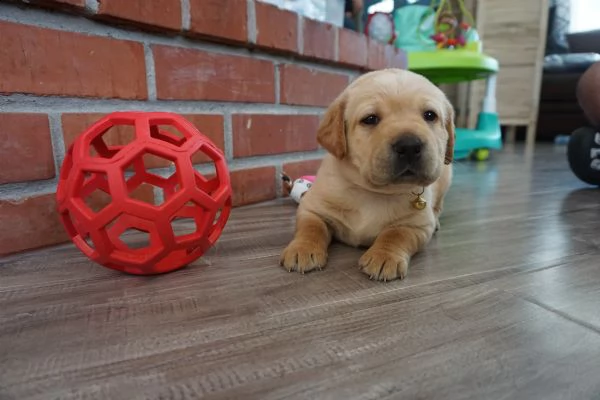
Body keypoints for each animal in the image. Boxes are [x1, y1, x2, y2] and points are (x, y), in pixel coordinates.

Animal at [282, 68, 454, 282]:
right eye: (370, 119)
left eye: (430, 115)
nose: (409, 145)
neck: (373, 191)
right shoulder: (312, 208)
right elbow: (311, 227)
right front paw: (303, 249)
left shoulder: (417, 225)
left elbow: (396, 235)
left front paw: (384, 256)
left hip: (446, 173)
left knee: (438, 206)